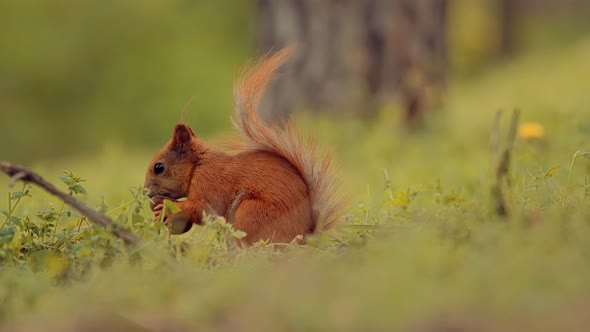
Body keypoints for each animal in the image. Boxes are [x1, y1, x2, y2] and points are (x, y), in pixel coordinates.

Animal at [143, 48, 344, 246]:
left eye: (159, 167)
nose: (146, 192)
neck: (197, 166)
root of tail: (305, 239)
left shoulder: (211, 184)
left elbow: (202, 208)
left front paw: (166, 205)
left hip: (249, 211)